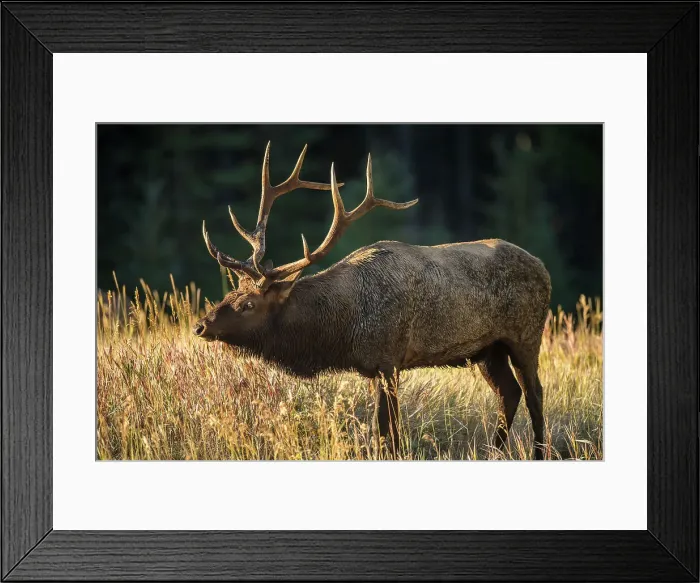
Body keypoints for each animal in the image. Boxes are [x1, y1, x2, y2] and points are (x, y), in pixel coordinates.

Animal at [194, 143, 552, 460]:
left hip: (526, 335)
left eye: (249, 305)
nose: (201, 326)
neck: (343, 327)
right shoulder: (371, 368)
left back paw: (538, 453)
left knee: (534, 393)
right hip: (487, 350)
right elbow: (382, 431)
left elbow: (386, 431)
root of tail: (543, 268)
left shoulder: (388, 359)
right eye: (229, 294)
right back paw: (494, 452)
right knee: (509, 393)